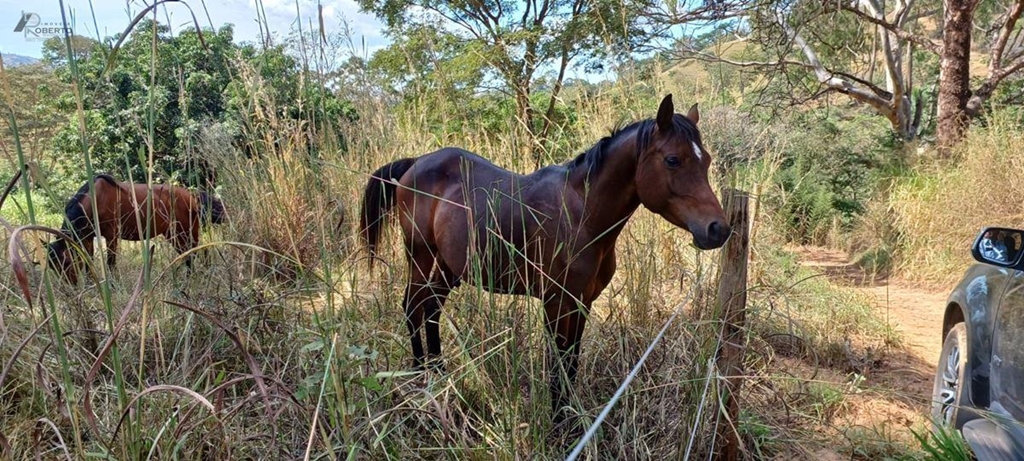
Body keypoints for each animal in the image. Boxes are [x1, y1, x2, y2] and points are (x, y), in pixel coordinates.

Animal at [46, 173, 226, 282]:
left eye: (66, 262)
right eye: (52, 266)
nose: (71, 285)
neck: (95, 200)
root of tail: (192, 197)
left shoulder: (111, 236)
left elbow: (111, 262)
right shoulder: (87, 237)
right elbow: (88, 261)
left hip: (186, 232)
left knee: (199, 252)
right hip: (174, 235)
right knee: (190, 254)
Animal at [360, 95, 729, 424]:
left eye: (707, 160)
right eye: (673, 160)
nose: (718, 229)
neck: (581, 214)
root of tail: (415, 164)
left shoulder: (582, 303)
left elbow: (572, 360)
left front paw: (568, 416)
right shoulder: (555, 303)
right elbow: (558, 362)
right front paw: (558, 421)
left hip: (449, 267)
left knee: (432, 308)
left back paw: (439, 374)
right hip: (420, 257)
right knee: (413, 306)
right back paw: (421, 378)